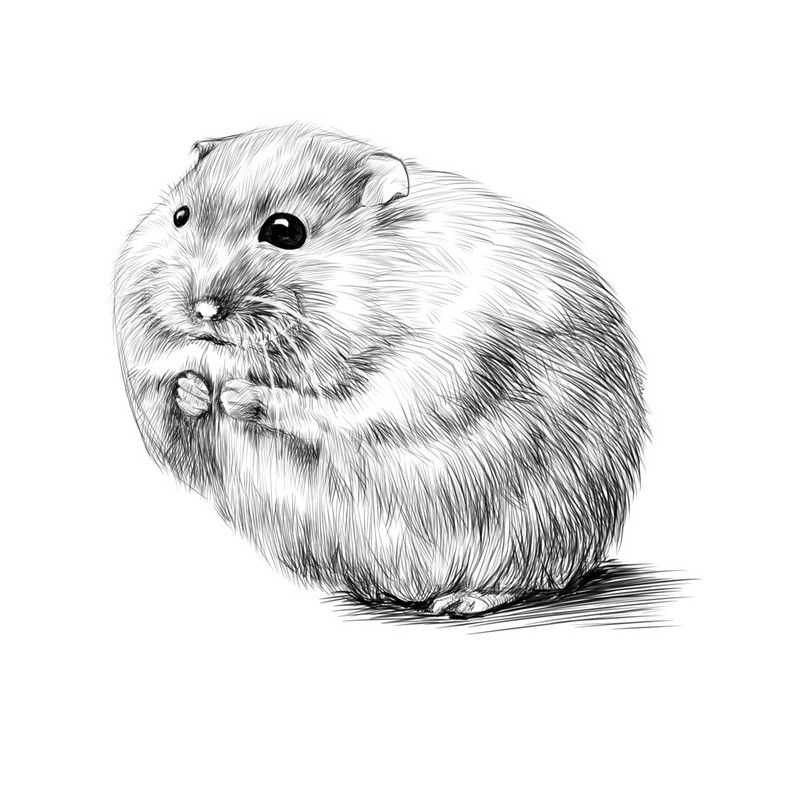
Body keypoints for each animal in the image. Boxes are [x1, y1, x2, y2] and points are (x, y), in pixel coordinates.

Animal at [113, 123, 647, 617]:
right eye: (179, 216)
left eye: (286, 231)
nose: (202, 310)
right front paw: (192, 389)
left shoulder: (421, 374)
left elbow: (331, 410)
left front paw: (235, 396)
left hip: (533, 525)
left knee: (529, 579)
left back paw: (460, 601)